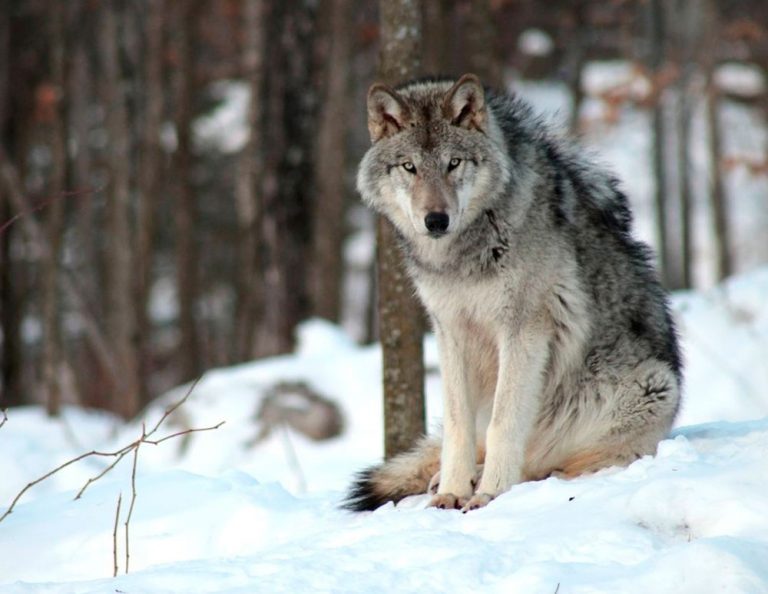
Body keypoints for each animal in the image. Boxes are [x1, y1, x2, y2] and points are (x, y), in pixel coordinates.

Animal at [344, 73, 680, 508]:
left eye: (453, 164)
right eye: (410, 167)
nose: (436, 220)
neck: (463, 258)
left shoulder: (523, 330)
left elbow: (503, 422)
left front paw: (489, 494)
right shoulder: (450, 331)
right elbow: (458, 425)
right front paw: (452, 491)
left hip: (654, 385)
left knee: (551, 463)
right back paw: (448, 478)